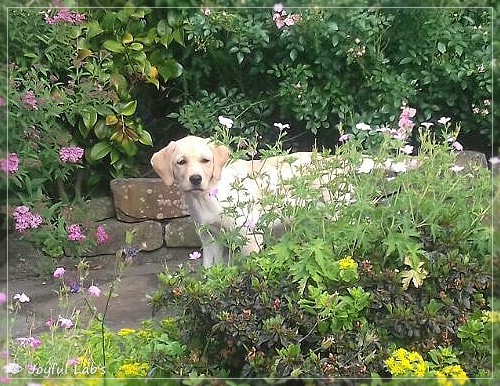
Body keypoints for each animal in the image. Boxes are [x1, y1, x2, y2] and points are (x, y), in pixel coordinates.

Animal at [149, 135, 312, 266]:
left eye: (205, 160)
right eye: (181, 162)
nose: (195, 178)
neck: (206, 197)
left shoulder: (248, 236)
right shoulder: (209, 237)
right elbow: (210, 269)